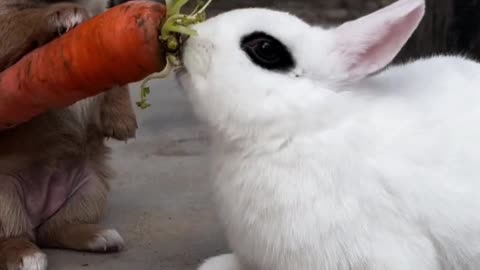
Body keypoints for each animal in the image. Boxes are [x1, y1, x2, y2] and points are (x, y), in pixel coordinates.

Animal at [0, 0, 138, 270]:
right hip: (3, 199)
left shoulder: (102, 23)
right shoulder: (6, 18)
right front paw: (62, 12)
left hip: (92, 186)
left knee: (55, 229)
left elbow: (114, 68)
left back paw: (98, 236)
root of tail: (38, 211)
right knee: (13, 236)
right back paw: (25, 255)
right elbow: (24, 18)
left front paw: (122, 119)